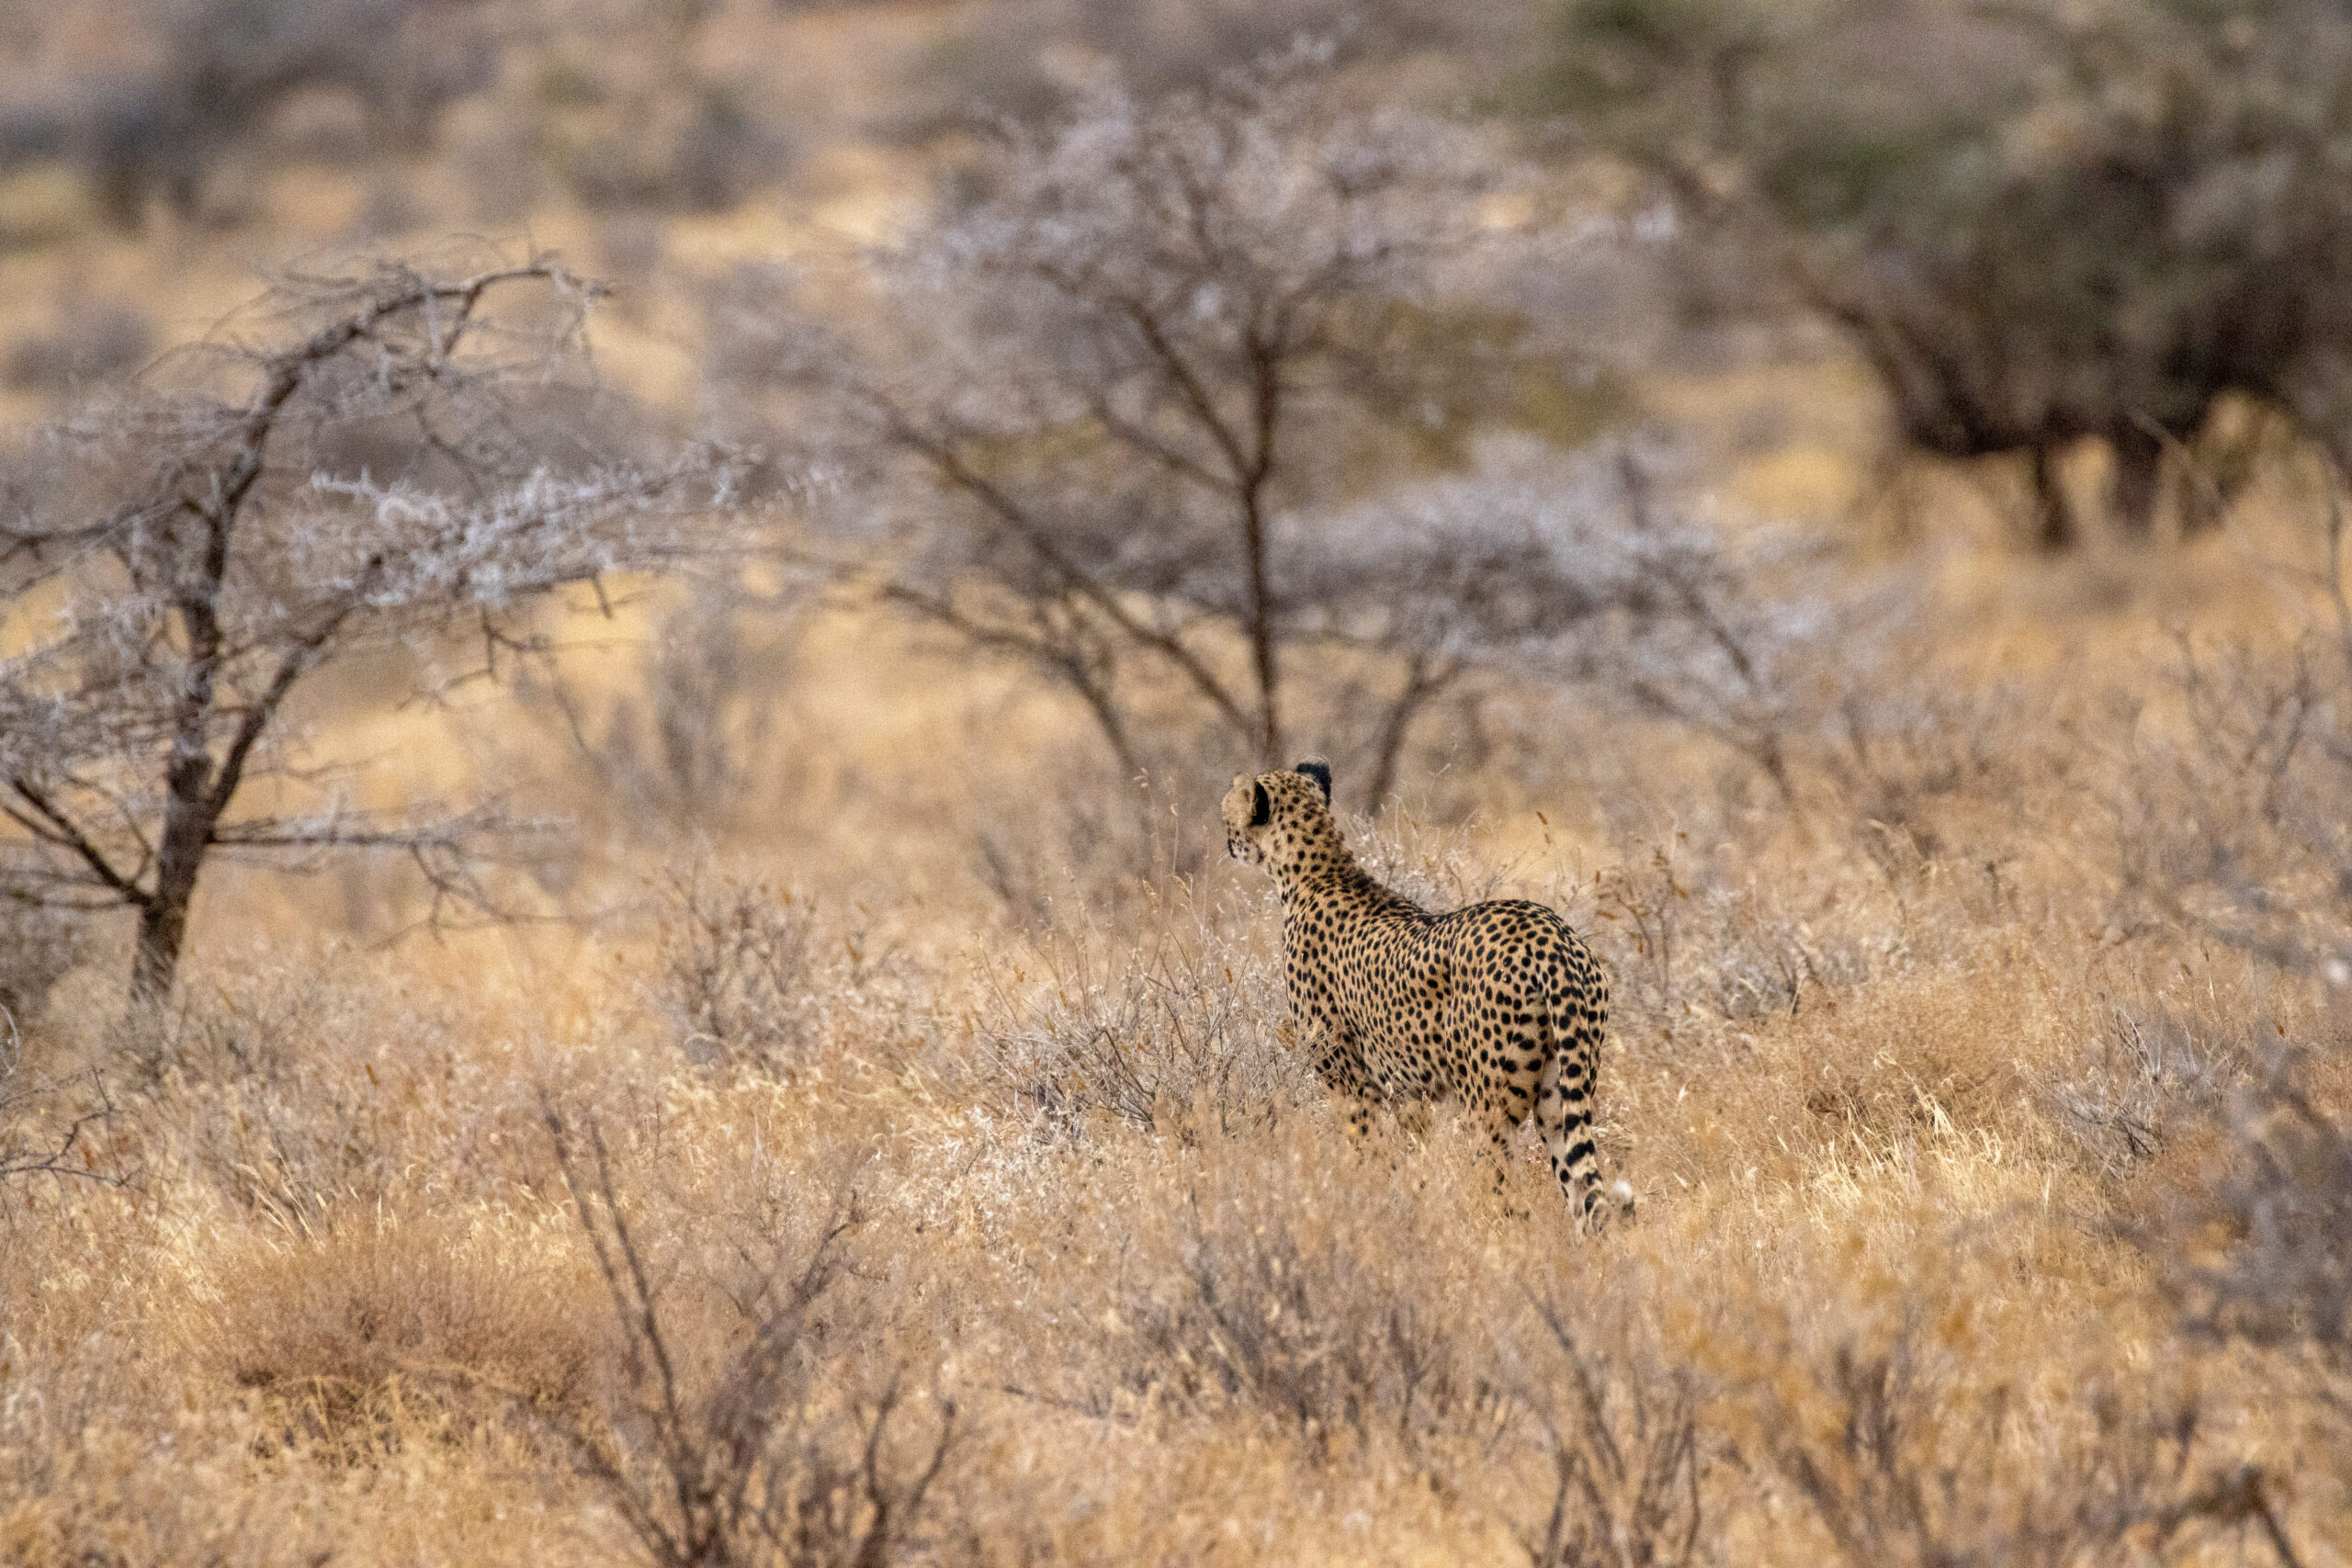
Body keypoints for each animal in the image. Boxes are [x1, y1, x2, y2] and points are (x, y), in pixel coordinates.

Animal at [1223, 761, 1627, 1222]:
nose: (1227, 840)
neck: (1318, 872)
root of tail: (1548, 931)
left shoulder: (1350, 1083)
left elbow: (1366, 1154)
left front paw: (1366, 1204)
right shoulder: (1407, 1096)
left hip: (1487, 1109)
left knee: (1506, 1195)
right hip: (1560, 1094)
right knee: (1583, 1195)